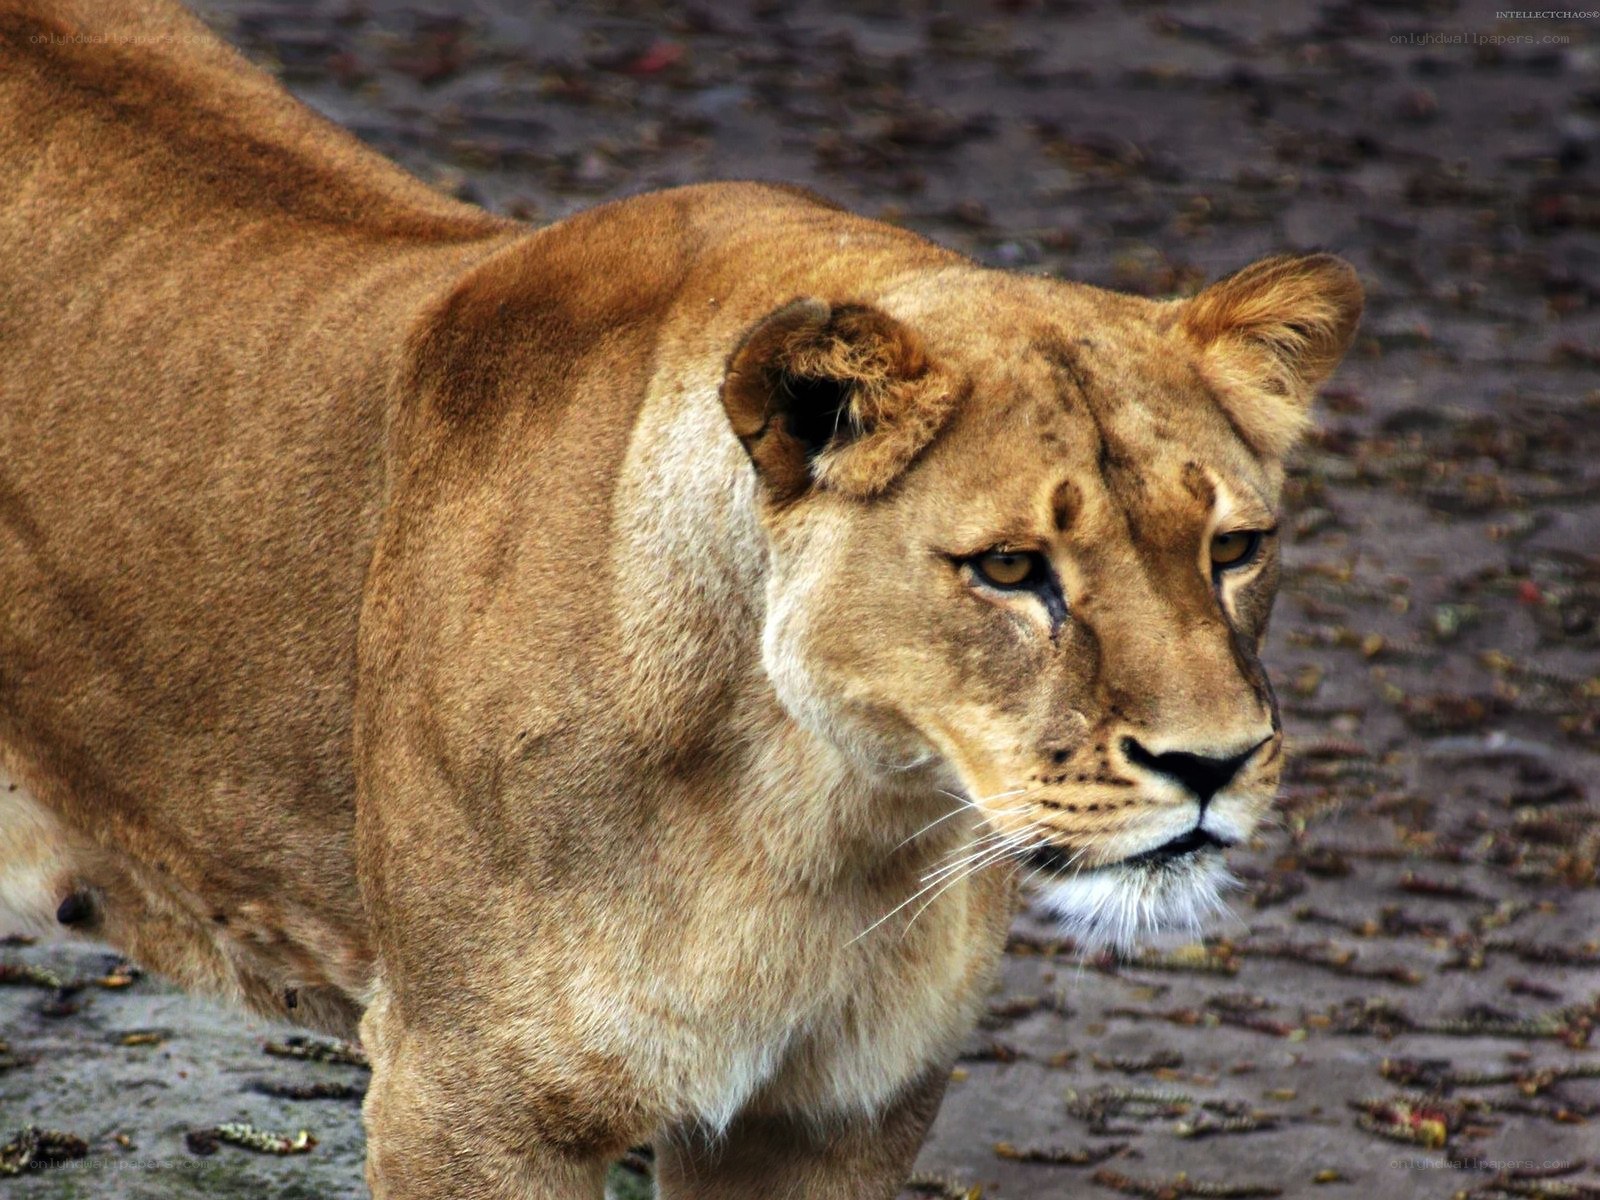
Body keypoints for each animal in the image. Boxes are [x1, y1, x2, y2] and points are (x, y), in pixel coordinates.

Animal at [0, 1, 1362, 1196]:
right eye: (1012, 569)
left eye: (1235, 548)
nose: (1212, 764)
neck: (824, 821)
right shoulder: (465, 1097)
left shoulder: (840, 1112)